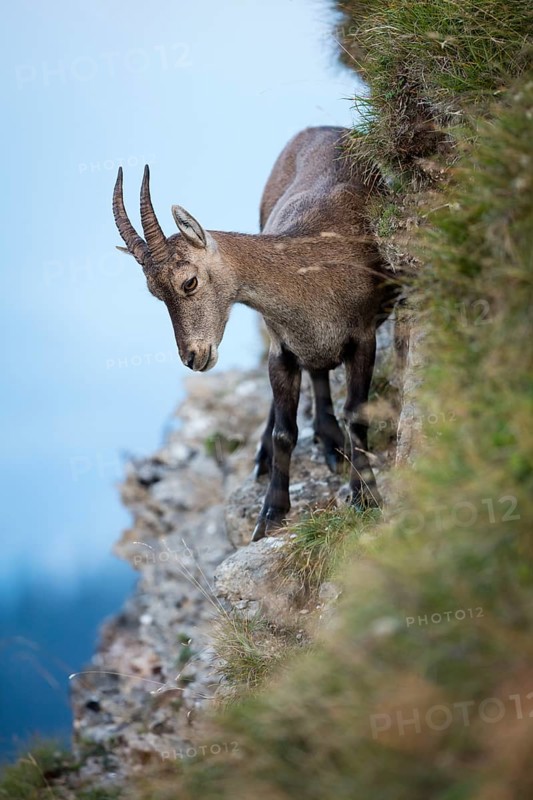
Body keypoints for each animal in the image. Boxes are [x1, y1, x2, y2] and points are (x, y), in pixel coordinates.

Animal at [113, 126, 397, 542]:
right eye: (154, 292)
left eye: (189, 281)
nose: (193, 357)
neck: (309, 278)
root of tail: (319, 129)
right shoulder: (282, 352)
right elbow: (284, 432)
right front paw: (271, 513)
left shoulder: (362, 339)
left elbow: (357, 414)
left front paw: (365, 495)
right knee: (314, 374)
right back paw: (317, 441)